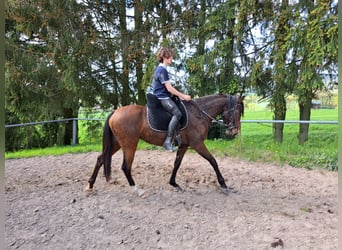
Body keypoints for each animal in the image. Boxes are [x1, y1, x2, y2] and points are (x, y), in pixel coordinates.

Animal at [87, 94, 244, 195]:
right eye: (237, 111)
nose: (234, 131)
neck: (199, 113)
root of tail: (115, 112)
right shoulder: (197, 144)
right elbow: (213, 161)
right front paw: (223, 185)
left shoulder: (184, 145)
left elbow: (177, 164)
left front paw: (174, 184)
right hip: (129, 144)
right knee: (126, 167)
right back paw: (137, 190)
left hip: (117, 143)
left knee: (101, 159)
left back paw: (90, 185)